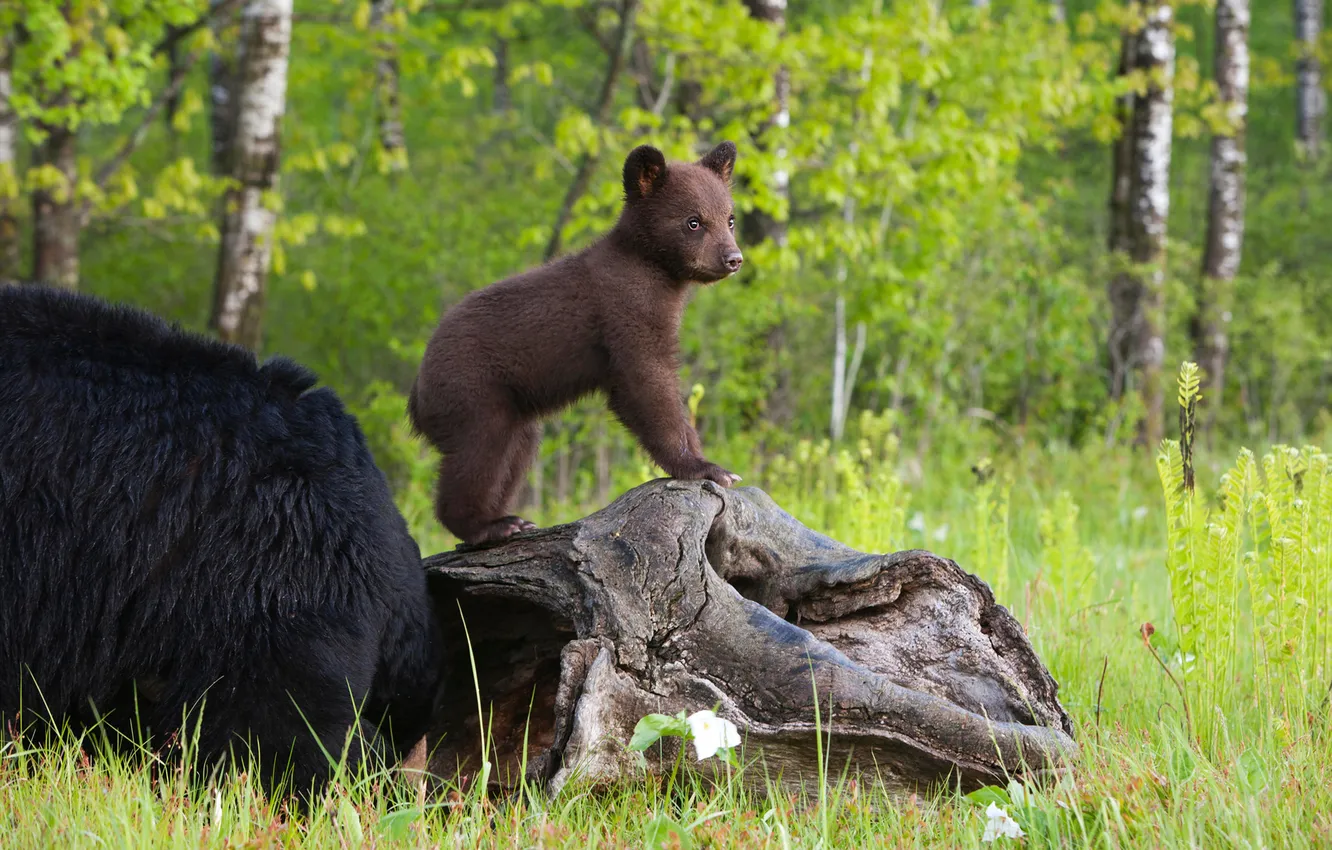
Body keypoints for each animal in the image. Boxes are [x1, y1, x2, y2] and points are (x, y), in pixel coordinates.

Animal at [409, 141, 744, 546]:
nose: (733, 258)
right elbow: (646, 383)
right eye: (694, 221)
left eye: (729, 218)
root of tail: (417, 397)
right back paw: (490, 525)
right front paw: (707, 467)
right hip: (473, 391)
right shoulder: (624, 314)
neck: (656, 273)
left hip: (512, 408)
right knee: (480, 452)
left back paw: (512, 518)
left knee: (517, 450)